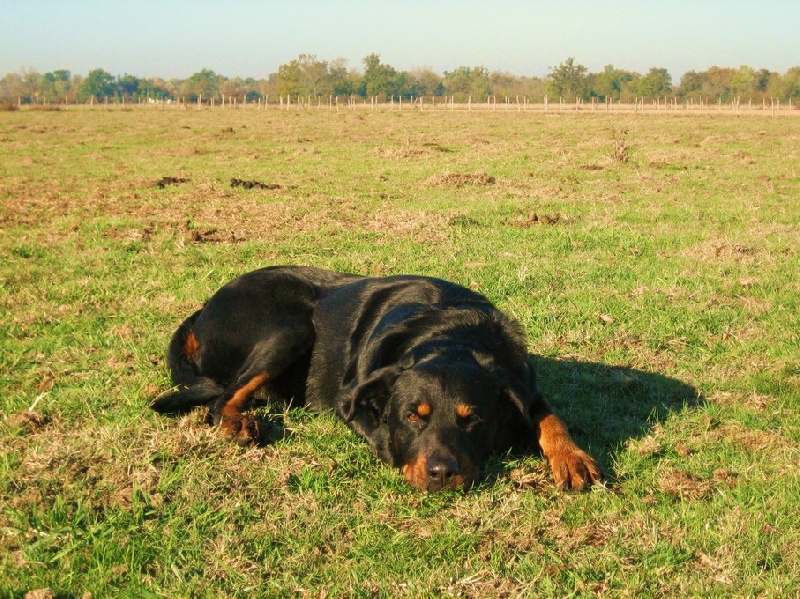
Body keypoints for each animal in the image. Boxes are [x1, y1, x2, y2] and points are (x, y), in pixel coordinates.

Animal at [150, 266, 602, 492]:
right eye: (412, 416)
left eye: (472, 419)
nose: (441, 473)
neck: (453, 335)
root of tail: (203, 310)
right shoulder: (352, 399)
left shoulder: (523, 385)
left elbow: (551, 420)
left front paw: (572, 457)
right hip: (290, 325)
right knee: (218, 400)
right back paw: (237, 422)